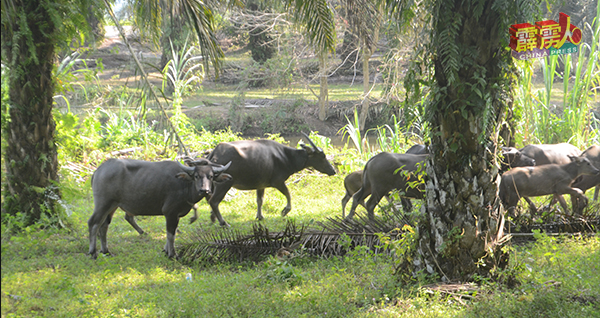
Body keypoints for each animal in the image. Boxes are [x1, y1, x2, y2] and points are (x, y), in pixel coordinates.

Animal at [88, 158, 231, 258]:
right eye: (196, 176)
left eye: (211, 176)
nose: (204, 190)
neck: (185, 185)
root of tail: (98, 170)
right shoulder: (170, 212)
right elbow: (171, 234)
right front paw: (172, 254)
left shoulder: (174, 215)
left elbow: (172, 232)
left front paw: (166, 250)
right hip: (103, 203)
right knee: (93, 223)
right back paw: (93, 252)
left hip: (112, 206)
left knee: (104, 225)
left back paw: (106, 251)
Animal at [206, 133, 338, 225]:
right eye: (322, 156)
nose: (333, 170)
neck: (286, 156)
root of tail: (214, 154)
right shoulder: (278, 182)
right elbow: (288, 194)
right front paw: (285, 211)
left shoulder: (261, 185)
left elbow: (260, 200)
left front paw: (260, 216)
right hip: (226, 183)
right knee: (214, 201)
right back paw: (223, 222)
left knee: (210, 199)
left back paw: (213, 217)